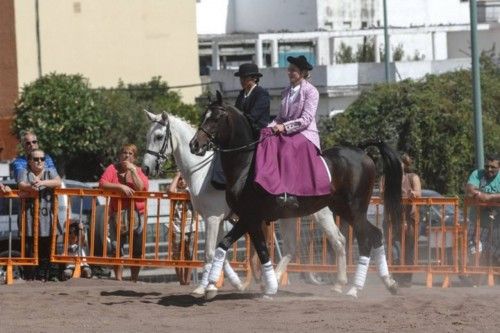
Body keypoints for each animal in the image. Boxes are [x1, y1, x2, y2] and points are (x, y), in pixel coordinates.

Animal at [143, 110, 348, 292]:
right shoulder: (218, 220)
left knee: (338, 240)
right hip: (288, 216)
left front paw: (203, 287)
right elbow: (221, 253)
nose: (145, 168)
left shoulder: (213, 218)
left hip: (320, 214)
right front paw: (235, 283)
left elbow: (210, 253)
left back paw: (340, 283)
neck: (200, 173)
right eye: (148, 135)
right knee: (291, 248)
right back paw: (273, 281)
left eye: (159, 137)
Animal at [188, 91, 402, 298]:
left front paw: (266, 287)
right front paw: (214, 287)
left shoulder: (250, 217)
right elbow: (237, 248)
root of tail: (362, 152)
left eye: (216, 118)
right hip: (343, 209)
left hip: (354, 209)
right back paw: (387, 283)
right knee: (374, 235)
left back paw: (355, 288)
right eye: (204, 115)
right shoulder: (247, 218)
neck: (246, 166)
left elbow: (251, 249)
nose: (194, 145)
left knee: (365, 239)